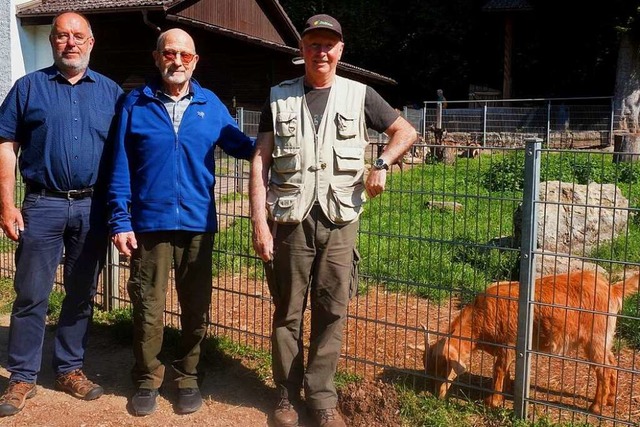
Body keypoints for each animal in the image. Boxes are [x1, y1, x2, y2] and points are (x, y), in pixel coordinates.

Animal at [424, 270, 640, 414]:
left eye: (443, 366)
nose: (436, 394)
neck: (481, 316)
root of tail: (612, 289)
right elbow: (506, 370)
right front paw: (507, 391)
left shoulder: (508, 345)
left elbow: (498, 370)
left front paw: (493, 401)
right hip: (604, 338)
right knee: (611, 362)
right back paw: (610, 400)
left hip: (594, 339)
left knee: (604, 370)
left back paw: (595, 407)